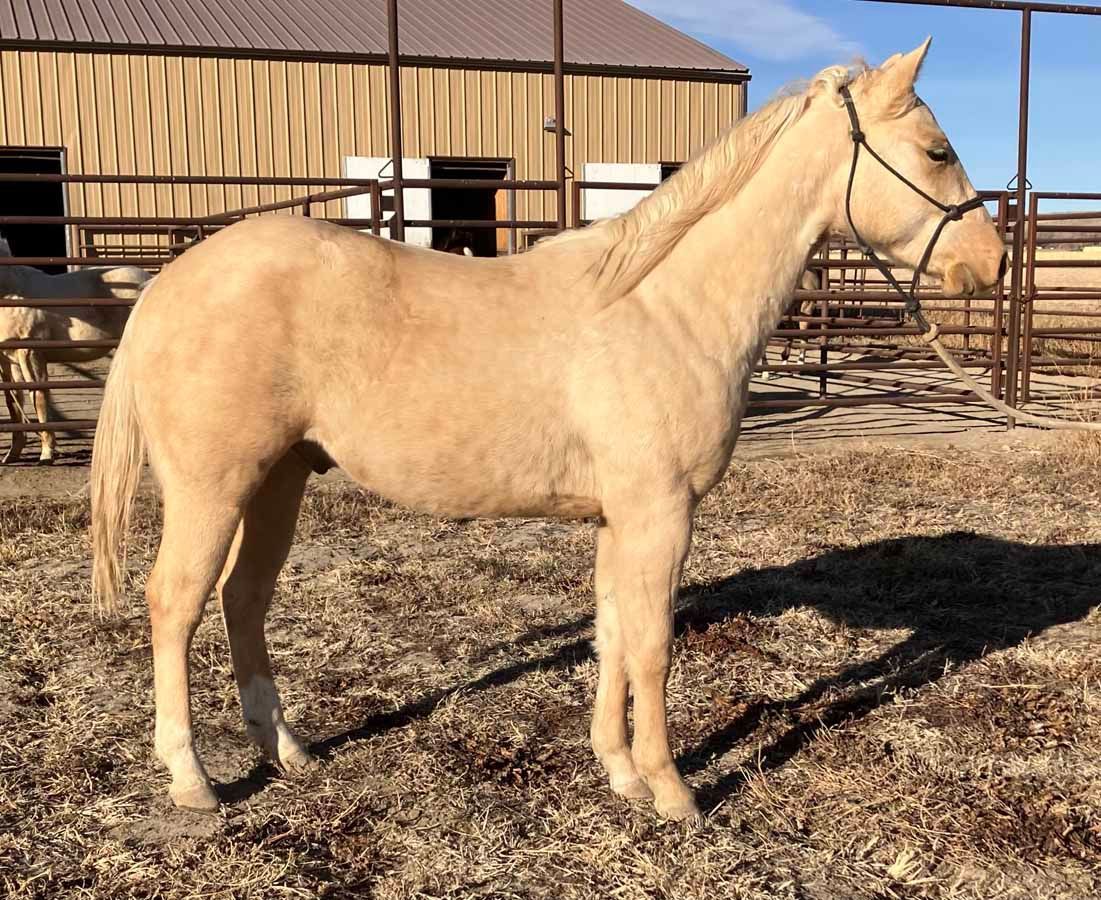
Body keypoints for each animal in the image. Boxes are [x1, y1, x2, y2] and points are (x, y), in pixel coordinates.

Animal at [0, 240, 151, 463]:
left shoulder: (30, 352)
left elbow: (39, 397)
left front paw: (47, 453)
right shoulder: (8, 360)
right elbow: (13, 403)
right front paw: (12, 454)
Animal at [90, 41, 1006, 821]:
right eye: (936, 150)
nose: (991, 264)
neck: (664, 305)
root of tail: (168, 283)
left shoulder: (619, 519)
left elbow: (611, 635)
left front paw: (620, 772)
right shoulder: (660, 515)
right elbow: (652, 648)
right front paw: (674, 793)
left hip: (278, 480)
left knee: (244, 598)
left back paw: (287, 752)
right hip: (213, 487)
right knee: (175, 602)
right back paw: (193, 782)